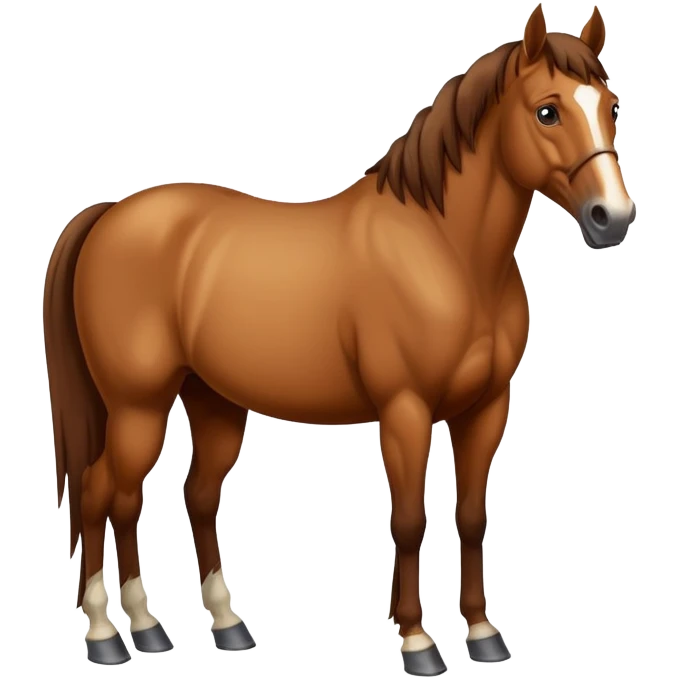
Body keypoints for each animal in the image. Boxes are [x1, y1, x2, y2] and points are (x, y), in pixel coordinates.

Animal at [42, 3, 635, 675]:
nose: (612, 219)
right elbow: (409, 520)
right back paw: (108, 635)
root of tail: (107, 216)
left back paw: (201, 626)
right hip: (136, 405)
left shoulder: (485, 410)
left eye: (612, 106)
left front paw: (484, 635)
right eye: (547, 111)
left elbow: (471, 516)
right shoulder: (405, 412)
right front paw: (418, 642)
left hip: (212, 401)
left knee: (181, 496)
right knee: (103, 492)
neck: (447, 251)